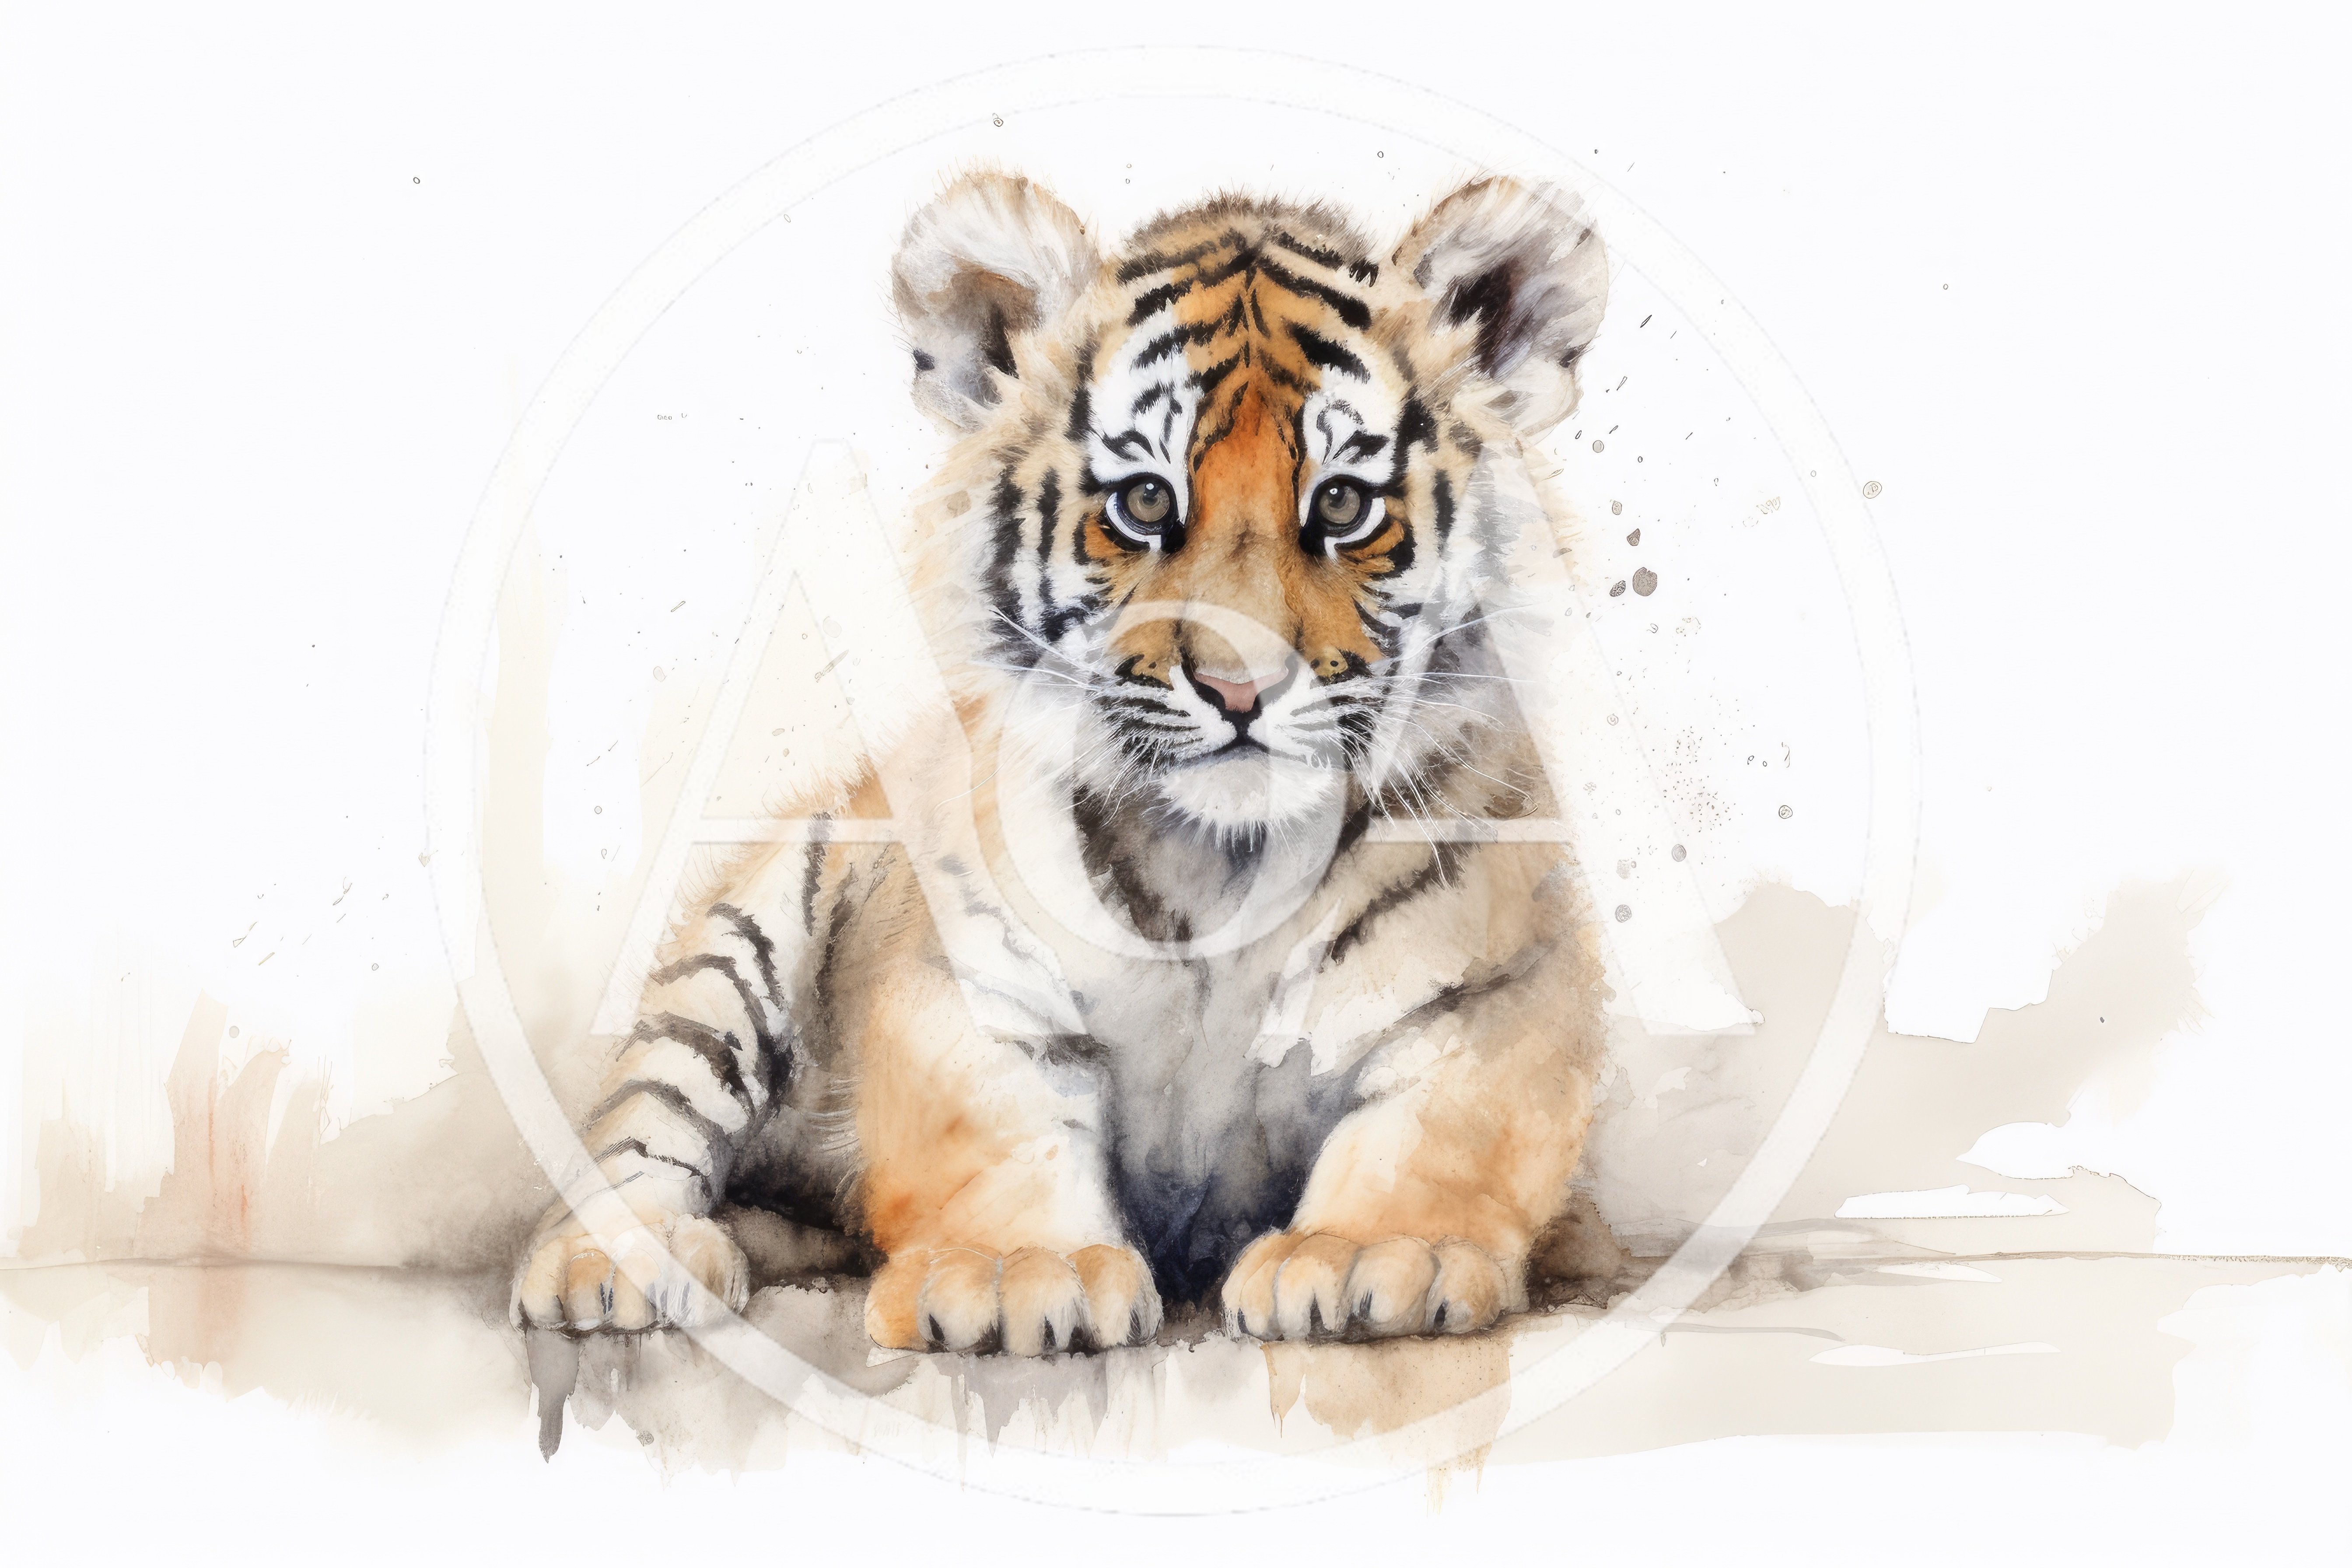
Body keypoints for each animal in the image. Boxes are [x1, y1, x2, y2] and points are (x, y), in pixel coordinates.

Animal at [512, 171, 1615, 1355]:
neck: (1222, 866)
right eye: (1144, 502)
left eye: (1342, 505)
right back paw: (619, 1262)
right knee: (648, 1111)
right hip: (745, 936)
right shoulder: (963, 978)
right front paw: (1012, 1276)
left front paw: (1370, 1254)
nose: (1238, 687)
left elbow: (1442, 1127)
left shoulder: (1494, 988)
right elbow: (1000, 1130)